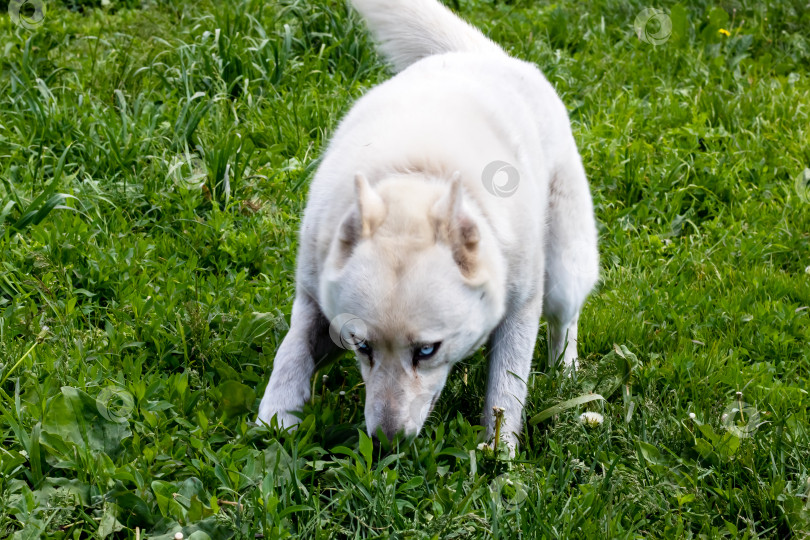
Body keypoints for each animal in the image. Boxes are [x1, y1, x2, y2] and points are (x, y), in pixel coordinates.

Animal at [256, 0, 596, 450]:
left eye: (427, 351)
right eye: (362, 345)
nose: (387, 443)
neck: (415, 181)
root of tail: (485, 55)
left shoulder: (521, 309)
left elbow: (505, 390)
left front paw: (498, 455)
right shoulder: (316, 301)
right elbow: (291, 351)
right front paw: (275, 417)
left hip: (563, 275)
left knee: (564, 323)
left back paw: (565, 375)